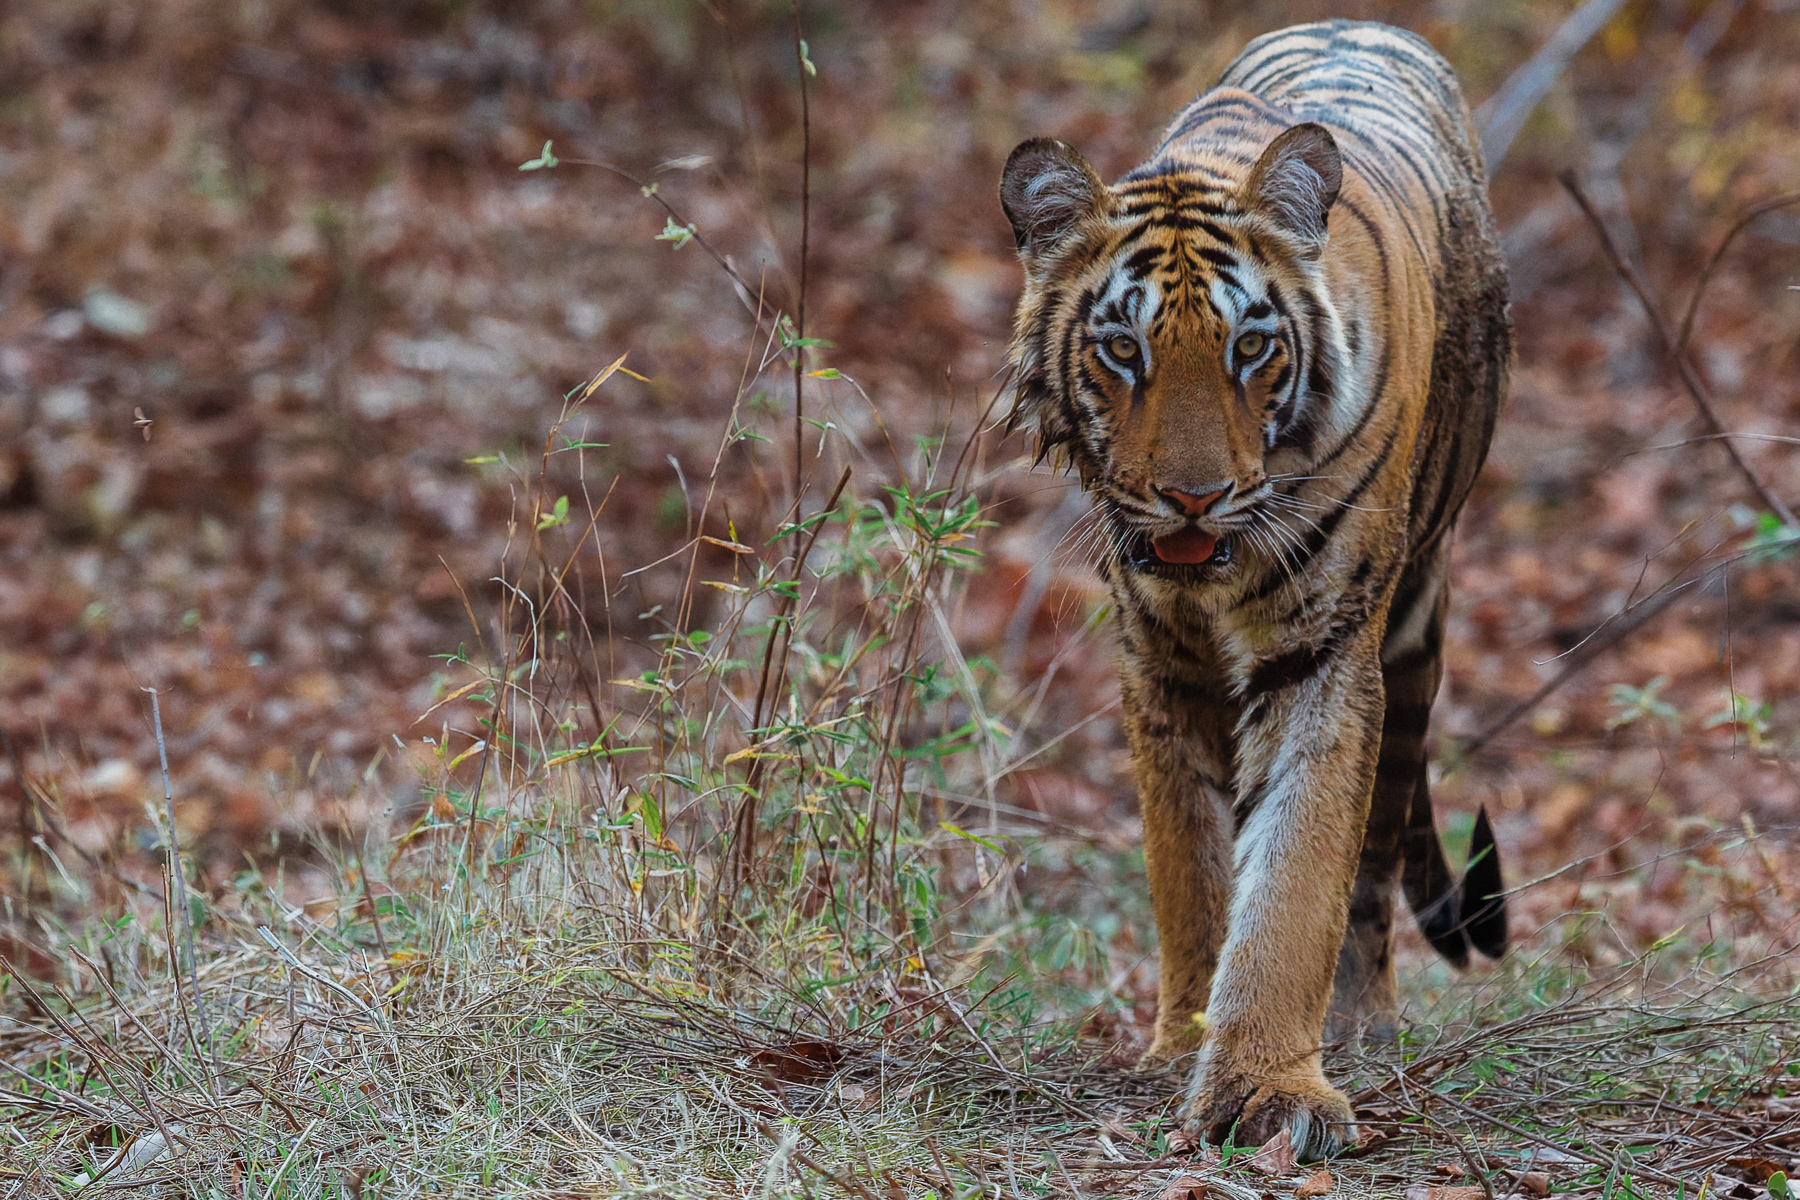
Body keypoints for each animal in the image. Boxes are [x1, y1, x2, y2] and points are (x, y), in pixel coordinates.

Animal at [998, 20, 1511, 1159]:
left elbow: (1298, 876)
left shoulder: (1324, 655)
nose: (1193, 498)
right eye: (1122, 349)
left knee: (1374, 868)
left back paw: (1364, 1028)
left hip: (1415, 639)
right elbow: (1191, 868)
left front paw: (1272, 1089)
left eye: (1252, 347)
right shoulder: (1161, 665)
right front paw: (1180, 1045)